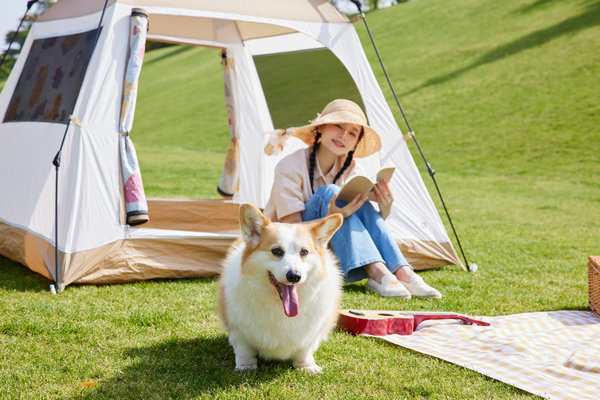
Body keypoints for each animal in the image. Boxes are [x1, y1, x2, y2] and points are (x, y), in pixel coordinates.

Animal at [219, 205, 342, 374]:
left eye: (304, 252)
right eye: (276, 251)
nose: (294, 276)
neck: (279, 306)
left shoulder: (313, 333)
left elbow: (305, 350)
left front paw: (306, 366)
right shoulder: (238, 329)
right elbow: (245, 350)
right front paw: (246, 366)